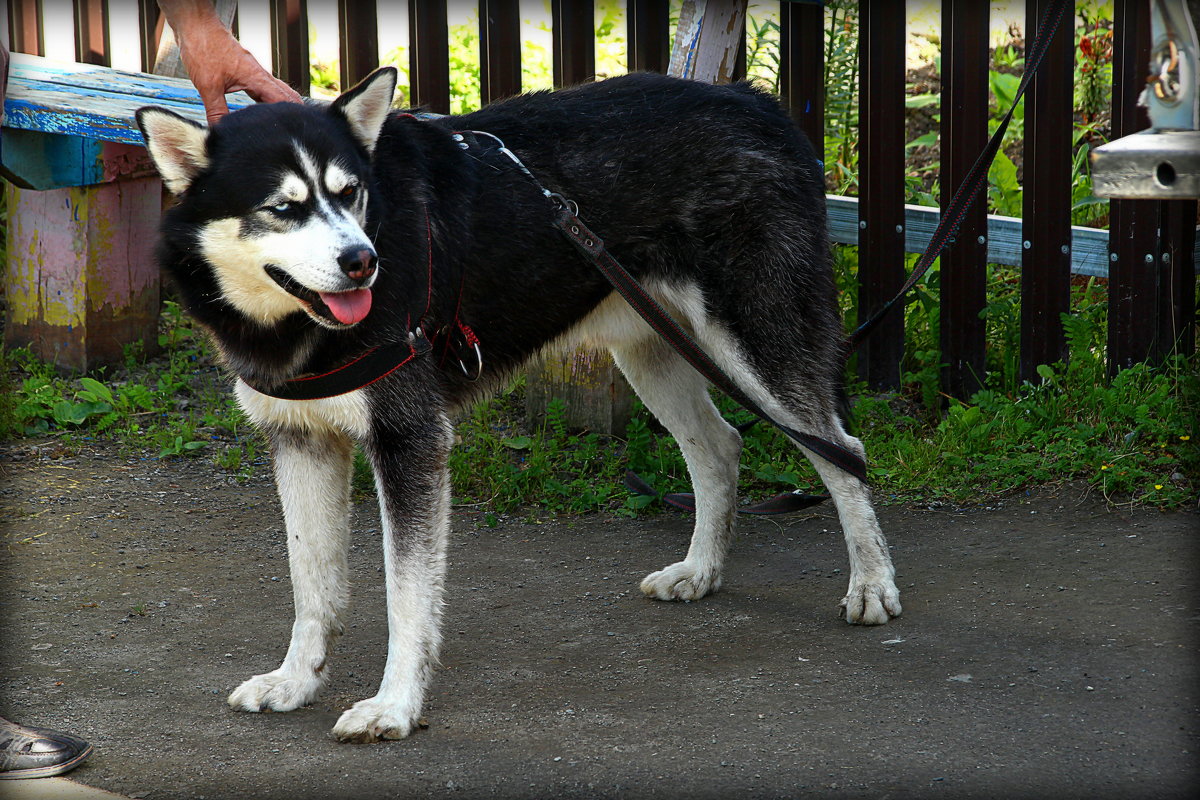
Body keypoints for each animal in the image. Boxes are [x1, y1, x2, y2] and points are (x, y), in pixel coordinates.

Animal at [133, 68, 902, 743]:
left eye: (350, 194)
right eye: (283, 207)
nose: (362, 262)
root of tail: (754, 100)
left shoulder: (410, 441)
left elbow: (406, 597)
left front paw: (394, 706)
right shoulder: (300, 440)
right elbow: (312, 588)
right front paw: (297, 680)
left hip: (761, 347)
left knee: (844, 453)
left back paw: (871, 584)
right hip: (651, 350)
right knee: (720, 447)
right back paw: (702, 570)